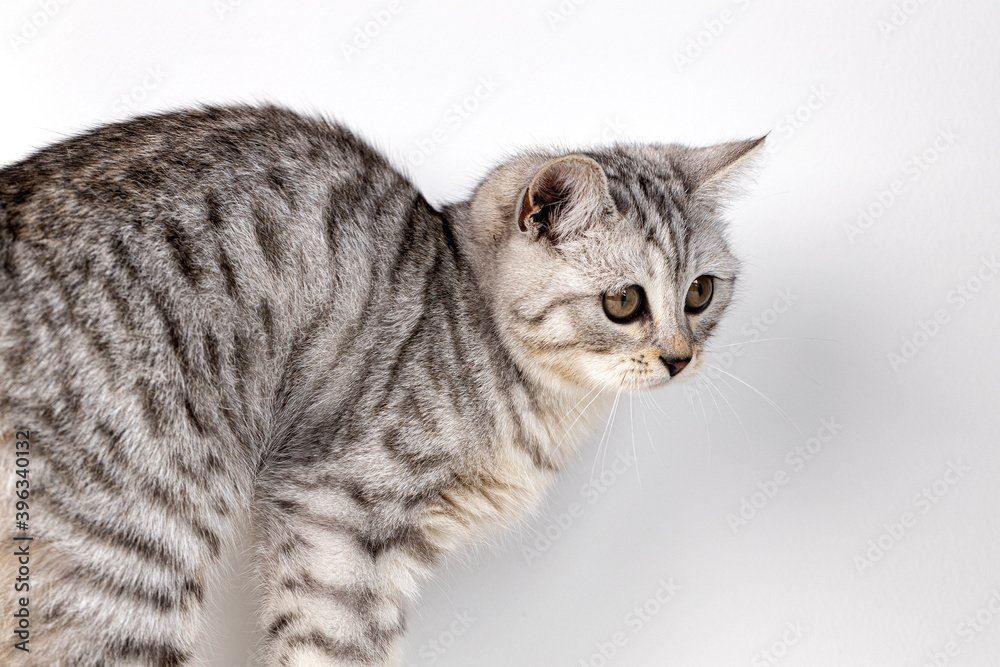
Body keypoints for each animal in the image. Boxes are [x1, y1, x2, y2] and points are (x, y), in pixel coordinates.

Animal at [0, 107, 760, 664]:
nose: (680, 357)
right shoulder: (337, 518)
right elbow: (333, 649)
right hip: (139, 539)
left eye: (699, 292)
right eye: (625, 302)